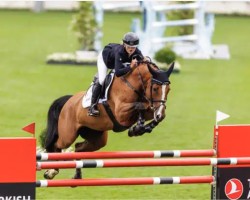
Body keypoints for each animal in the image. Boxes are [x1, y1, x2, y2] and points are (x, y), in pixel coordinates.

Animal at [42, 59, 174, 180]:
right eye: (155, 88)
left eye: (168, 89)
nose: (159, 113)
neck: (132, 84)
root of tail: (68, 101)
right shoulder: (121, 114)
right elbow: (140, 105)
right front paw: (137, 127)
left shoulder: (150, 109)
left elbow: (150, 112)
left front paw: (139, 129)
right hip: (68, 135)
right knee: (57, 145)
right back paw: (51, 171)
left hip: (97, 138)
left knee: (78, 148)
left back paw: (77, 176)